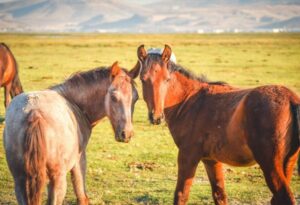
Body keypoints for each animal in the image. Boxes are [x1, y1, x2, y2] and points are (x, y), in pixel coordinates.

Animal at [3, 62, 139, 205]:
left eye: (136, 98)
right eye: (113, 97)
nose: (126, 134)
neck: (74, 102)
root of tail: (34, 112)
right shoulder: (79, 160)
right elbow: (81, 194)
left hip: (20, 180)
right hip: (58, 181)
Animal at [134, 44, 300, 205]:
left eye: (167, 79)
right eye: (143, 79)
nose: (156, 117)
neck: (190, 100)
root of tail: (291, 99)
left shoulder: (187, 156)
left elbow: (181, 196)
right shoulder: (211, 160)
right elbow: (220, 195)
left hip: (270, 166)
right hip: (287, 164)